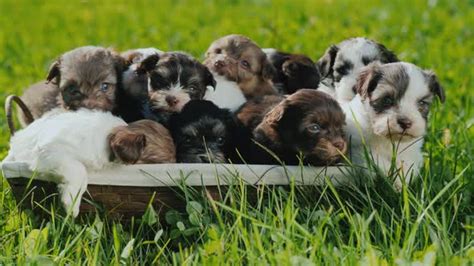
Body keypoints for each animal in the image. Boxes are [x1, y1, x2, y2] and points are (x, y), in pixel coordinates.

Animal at [342, 61, 446, 189]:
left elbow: (408, 164)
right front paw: (391, 177)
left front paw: (400, 182)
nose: (405, 122)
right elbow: (374, 158)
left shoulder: (411, 151)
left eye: (422, 103)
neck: (388, 139)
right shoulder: (356, 148)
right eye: (387, 100)